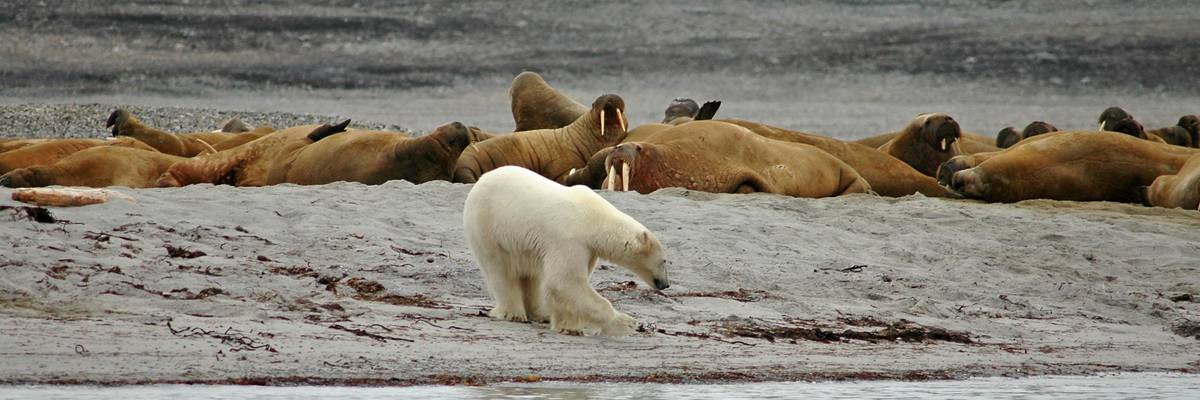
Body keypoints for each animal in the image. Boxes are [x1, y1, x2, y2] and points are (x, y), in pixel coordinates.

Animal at [462, 166, 670, 336]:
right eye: (664, 261)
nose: (665, 284)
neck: (593, 219)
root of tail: (481, 180)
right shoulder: (569, 239)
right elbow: (566, 281)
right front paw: (625, 323)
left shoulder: (588, 248)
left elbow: (565, 286)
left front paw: (567, 325)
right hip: (488, 226)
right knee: (500, 270)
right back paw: (513, 313)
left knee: (532, 276)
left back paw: (539, 313)